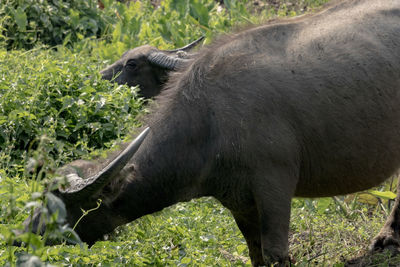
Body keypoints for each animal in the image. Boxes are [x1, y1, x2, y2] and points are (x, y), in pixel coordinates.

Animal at [21, 0, 400, 266]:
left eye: (62, 212)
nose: (20, 239)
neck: (210, 123)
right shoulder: (237, 200)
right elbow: (256, 252)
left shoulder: (275, 186)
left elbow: (276, 252)